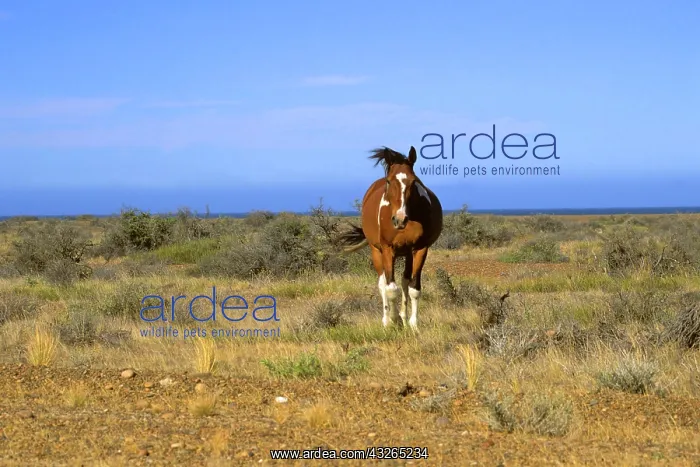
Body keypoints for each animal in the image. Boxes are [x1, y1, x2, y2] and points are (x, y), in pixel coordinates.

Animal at [337, 146, 443, 332]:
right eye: (389, 181)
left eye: (413, 182)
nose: (399, 219)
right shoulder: (387, 249)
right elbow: (391, 289)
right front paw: (394, 320)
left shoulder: (420, 249)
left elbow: (414, 288)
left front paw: (412, 324)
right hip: (376, 251)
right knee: (383, 284)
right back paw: (386, 320)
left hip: (407, 254)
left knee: (405, 281)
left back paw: (404, 317)